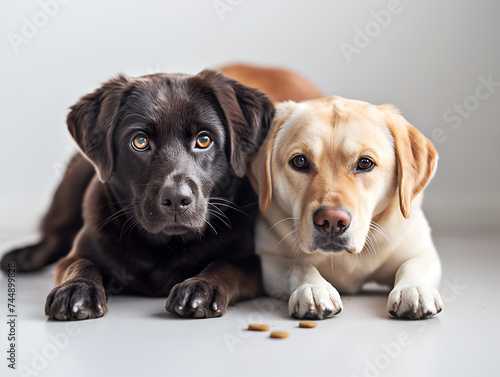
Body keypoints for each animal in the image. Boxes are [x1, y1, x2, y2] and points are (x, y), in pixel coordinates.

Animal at [0, 69, 274, 318]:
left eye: (204, 140)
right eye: (140, 141)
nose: (176, 199)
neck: (166, 247)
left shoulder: (255, 264)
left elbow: (226, 263)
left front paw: (201, 287)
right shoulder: (80, 251)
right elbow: (80, 263)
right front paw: (76, 289)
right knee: (57, 235)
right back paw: (23, 256)